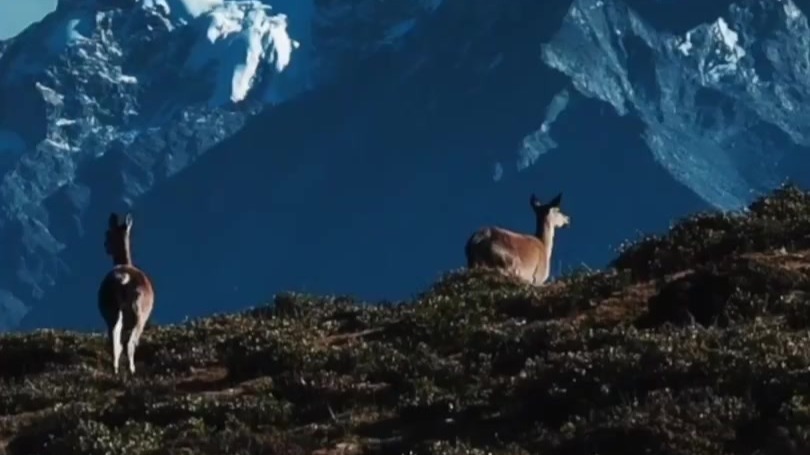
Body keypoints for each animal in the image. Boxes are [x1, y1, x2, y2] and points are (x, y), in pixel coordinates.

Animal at [98, 212, 155, 375]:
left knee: (114, 339)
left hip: (111, 310)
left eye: (108, 233)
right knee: (129, 343)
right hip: (138, 314)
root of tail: (124, 278)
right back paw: (131, 369)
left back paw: (115, 368)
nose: (105, 245)